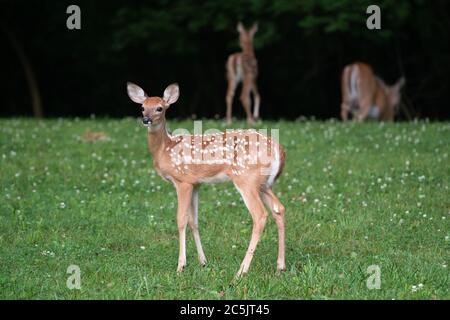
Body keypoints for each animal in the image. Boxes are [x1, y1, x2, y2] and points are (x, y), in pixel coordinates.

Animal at [125, 81, 284, 276]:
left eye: (159, 108)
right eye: (142, 107)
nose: (146, 119)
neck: (166, 149)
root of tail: (278, 149)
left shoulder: (183, 181)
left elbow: (181, 219)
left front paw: (181, 266)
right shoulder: (196, 183)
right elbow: (194, 221)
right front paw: (203, 261)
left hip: (246, 178)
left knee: (260, 215)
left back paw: (241, 271)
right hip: (264, 184)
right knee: (279, 209)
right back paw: (280, 267)